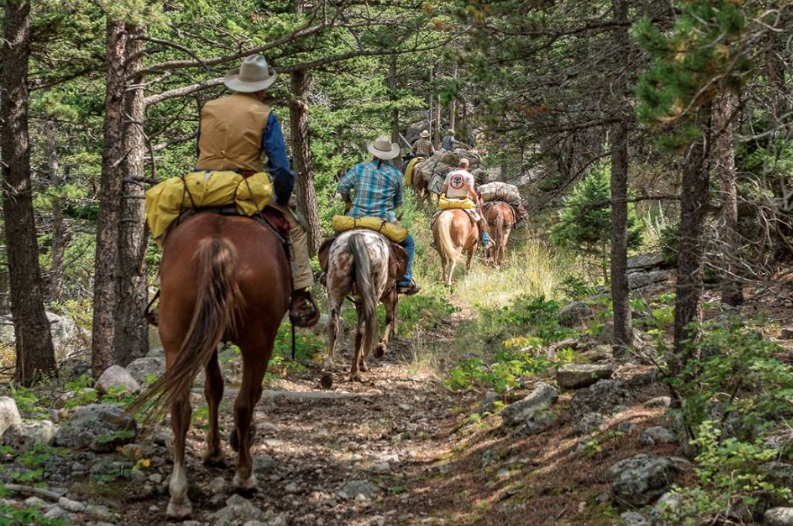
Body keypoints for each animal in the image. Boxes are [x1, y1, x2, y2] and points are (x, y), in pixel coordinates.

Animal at [127, 213, 290, 520]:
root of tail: (217, 242)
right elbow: (229, 391)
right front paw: (224, 449)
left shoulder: (207, 339)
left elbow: (213, 387)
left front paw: (213, 451)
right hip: (258, 342)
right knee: (244, 402)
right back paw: (245, 476)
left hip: (176, 338)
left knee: (180, 408)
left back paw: (179, 496)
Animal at [322, 231, 408, 384]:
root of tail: (357, 237)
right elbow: (387, 319)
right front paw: (379, 348)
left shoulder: (359, 302)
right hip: (374, 291)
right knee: (362, 330)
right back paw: (355, 372)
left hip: (335, 289)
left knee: (333, 324)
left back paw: (330, 364)